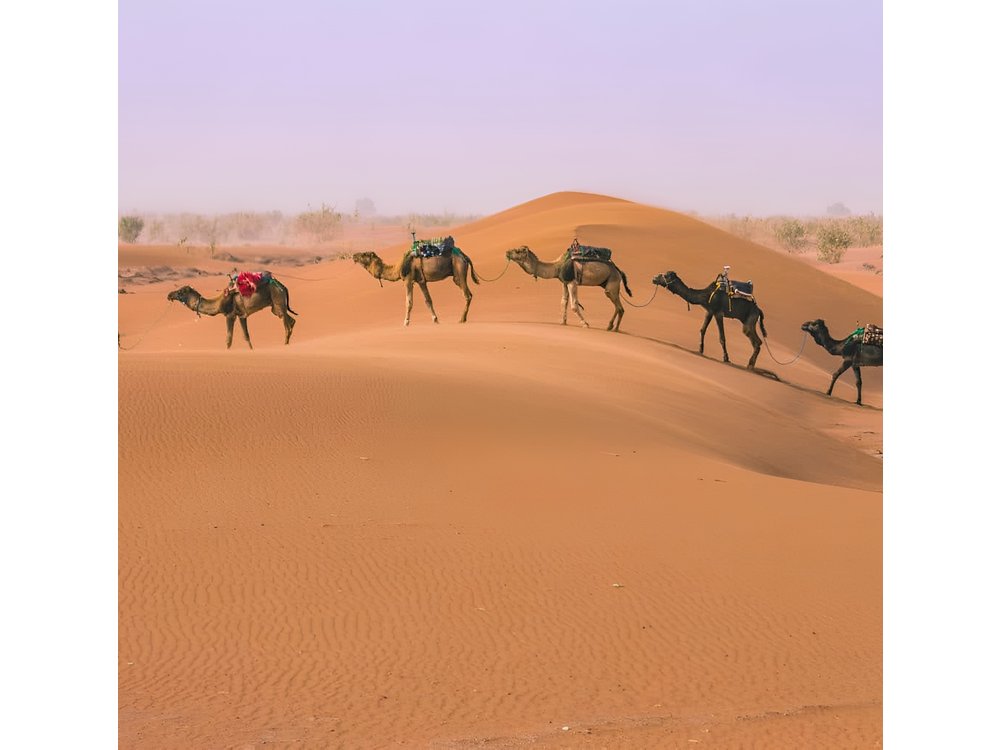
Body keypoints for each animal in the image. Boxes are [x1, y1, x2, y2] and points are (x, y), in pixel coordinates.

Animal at [166, 275, 297, 349]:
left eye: (180, 292)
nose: (169, 295)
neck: (219, 302)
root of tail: (282, 286)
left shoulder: (230, 315)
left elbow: (229, 339)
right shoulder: (242, 316)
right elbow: (246, 336)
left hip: (278, 301)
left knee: (286, 326)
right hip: (275, 308)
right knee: (291, 320)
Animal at [351, 247, 480, 326]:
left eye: (364, 254)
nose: (354, 255)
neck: (398, 268)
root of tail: (465, 256)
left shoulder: (408, 280)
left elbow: (409, 302)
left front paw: (406, 322)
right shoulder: (421, 281)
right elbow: (428, 300)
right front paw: (435, 320)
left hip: (459, 269)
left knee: (467, 295)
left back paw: (462, 319)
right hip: (457, 275)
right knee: (469, 294)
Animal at [504, 245, 633, 331]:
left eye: (517, 251)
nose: (507, 252)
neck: (557, 267)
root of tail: (618, 270)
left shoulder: (572, 282)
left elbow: (574, 305)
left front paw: (585, 324)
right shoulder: (564, 283)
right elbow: (563, 302)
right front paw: (563, 322)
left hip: (613, 283)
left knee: (620, 307)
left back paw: (614, 328)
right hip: (608, 285)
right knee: (618, 306)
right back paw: (610, 327)